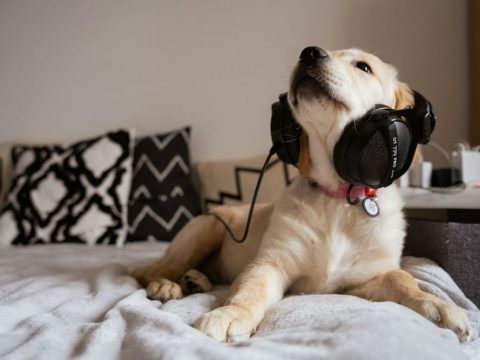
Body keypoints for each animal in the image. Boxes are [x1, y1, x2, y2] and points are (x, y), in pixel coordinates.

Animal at [133, 46, 470, 342]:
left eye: (363, 67)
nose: (309, 53)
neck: (339, 197)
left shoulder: (364, 280)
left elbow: (402, 279)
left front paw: (437, 304)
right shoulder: (272, 263)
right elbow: (250, 289)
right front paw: (231, 313)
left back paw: (195, 280)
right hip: (208, 227)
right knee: (151, 269)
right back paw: (166, 285)